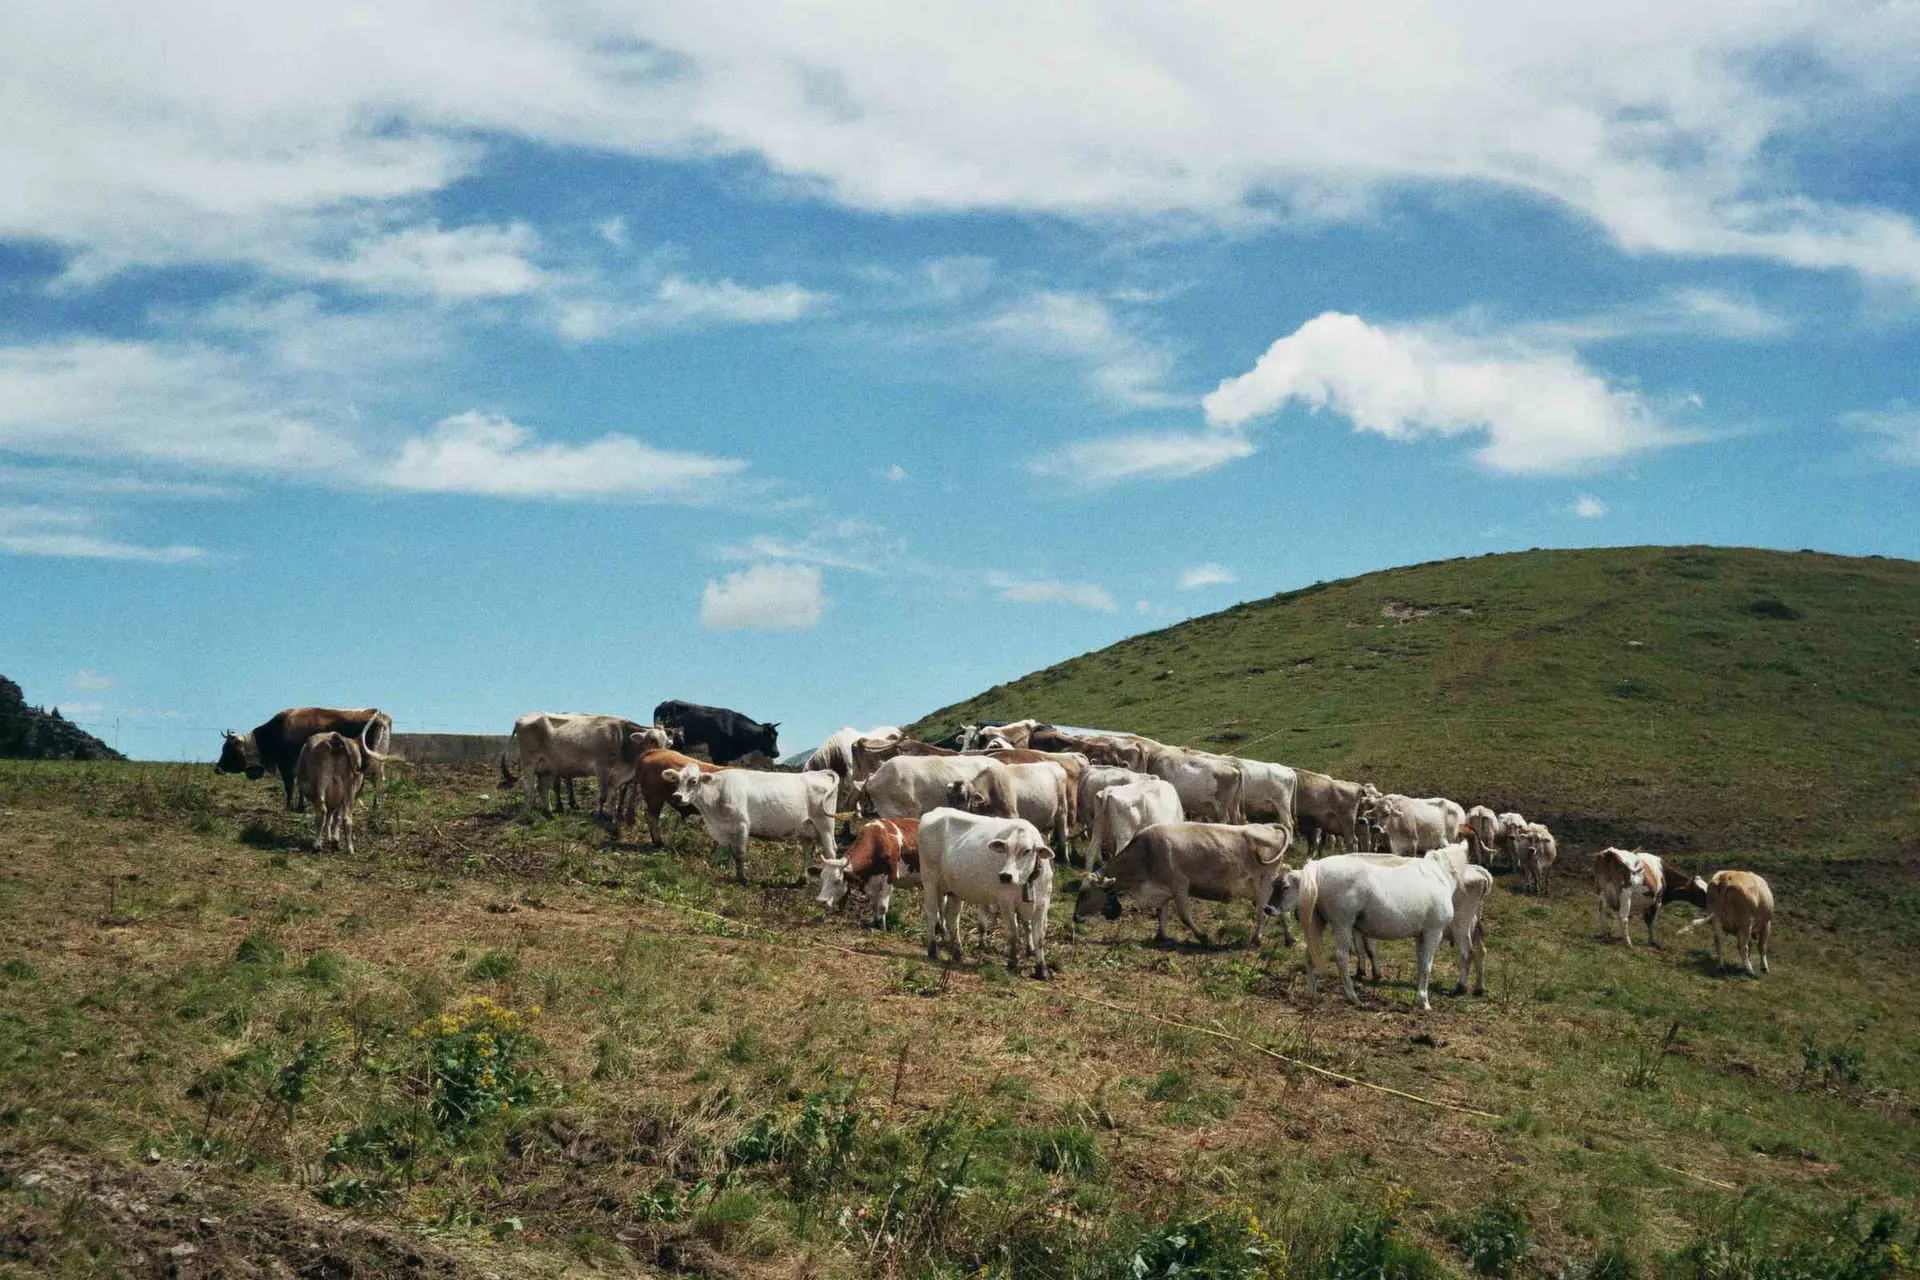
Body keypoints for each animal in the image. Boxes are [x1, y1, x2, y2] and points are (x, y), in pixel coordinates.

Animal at [217, 707, 393, 815]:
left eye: (227, 749)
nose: (217, 768)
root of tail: (377, 714)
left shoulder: (286, 765)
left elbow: (289, 786)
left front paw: (289, 806)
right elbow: (300, 785)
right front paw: (302, 806)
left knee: (372, 780)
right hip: (379, 760)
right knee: (379, 780)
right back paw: (375, 806)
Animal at [501, 713, 649, 821]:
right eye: (650, 740)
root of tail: (524, 717)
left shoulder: (617, 777)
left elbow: (614, 796)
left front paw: (612, 816)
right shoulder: (602, 769)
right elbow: (603, 796)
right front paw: (599, 816)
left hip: (547, 767)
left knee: (543, 788)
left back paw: (549, 812)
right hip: (529, 763)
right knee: (529, 786)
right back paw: (528, 811)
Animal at [668, 765, 838, 884]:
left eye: (693, 781)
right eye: (676, 780)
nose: (677, 796)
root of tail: (820, 773)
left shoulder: (741, 825)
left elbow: (740, 854)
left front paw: (743, 879)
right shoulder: (728, 829)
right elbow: (733, 853)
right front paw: (737, 876)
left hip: (825, 826)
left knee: (831, 853)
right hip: (806, 829)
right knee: (807, 851)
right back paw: (803, 879)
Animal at [918, 808, 1055, 978]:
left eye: (1027, 851)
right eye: (1005, 849)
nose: (1005, 875)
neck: (1028, 880)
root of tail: (936, 810)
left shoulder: (1042, 905)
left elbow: (1039, 938)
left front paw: (1042, 970)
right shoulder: (1006, 902)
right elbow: (1013, 935)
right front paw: (1012, 964)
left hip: (954, 890)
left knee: (952, 918)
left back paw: (958, 952)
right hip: (930, 880)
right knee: (931, 914)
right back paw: (932, 949)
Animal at [1074, 821, 1293, 949]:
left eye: (1084, 893)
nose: (1074, 917)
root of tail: (1269, 826)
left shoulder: (1179, 884)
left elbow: (1184, 916)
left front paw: (1203, 937)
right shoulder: (1162, 889)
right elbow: (1161, 913)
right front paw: (1161, 936)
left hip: (1264, 883)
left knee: (1263, 913)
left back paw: (1257, 939)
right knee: (1279, 909)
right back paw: (1289, 938)